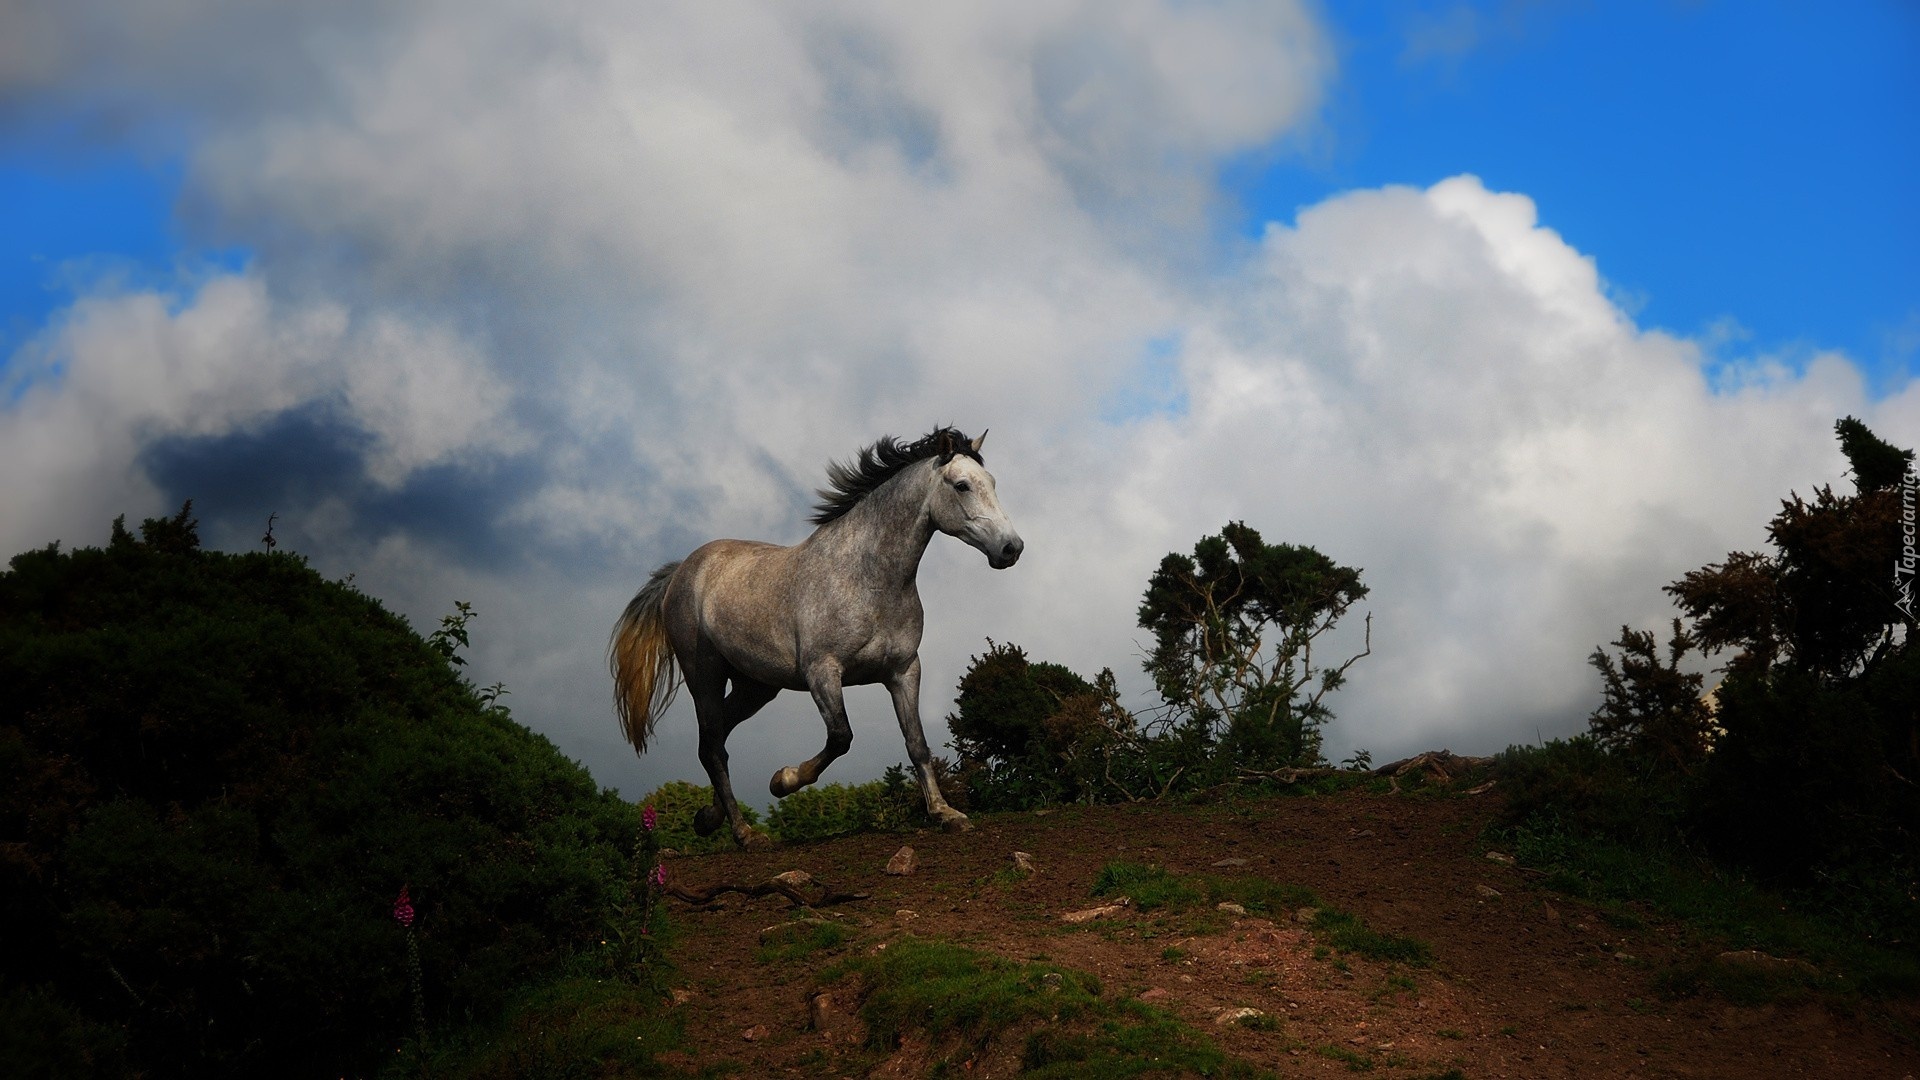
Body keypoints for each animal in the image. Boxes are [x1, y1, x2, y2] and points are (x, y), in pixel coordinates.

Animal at [614, 424, 1029, 845]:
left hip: (756, 686)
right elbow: (841, 737)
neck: (867, 579)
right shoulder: (823, 672)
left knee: (715, 737)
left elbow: (916, 743)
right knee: (714, 748)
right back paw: (746, 834)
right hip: (705, 677)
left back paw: (709, 818)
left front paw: (945, 813)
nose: (1011, 548)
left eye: (992, 482)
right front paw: (783, 780)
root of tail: (682, 571)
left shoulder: (904, 671)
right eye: (962, 485)